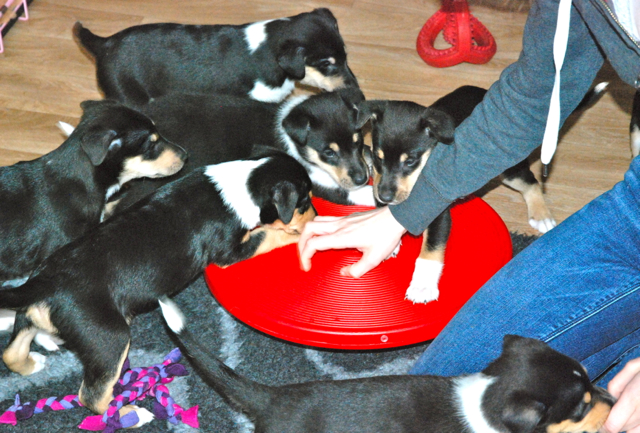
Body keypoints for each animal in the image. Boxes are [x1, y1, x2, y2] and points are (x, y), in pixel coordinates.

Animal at [0, 149, 315, 427]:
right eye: (303, 201)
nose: (314, 215)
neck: (246, 181)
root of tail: (46, 284)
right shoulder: (230, 251)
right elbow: (268, 235)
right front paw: (300, 232)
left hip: (28, 314)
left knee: (11, 353)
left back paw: (34, 362)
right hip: (109, 338)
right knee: (91, 396)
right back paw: (131, 414)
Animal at [101, 88, 373, 218]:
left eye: (358, 142)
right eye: (328, 152)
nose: (361, 177)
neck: (295, 141)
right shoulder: (324, 183)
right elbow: (362, 195)